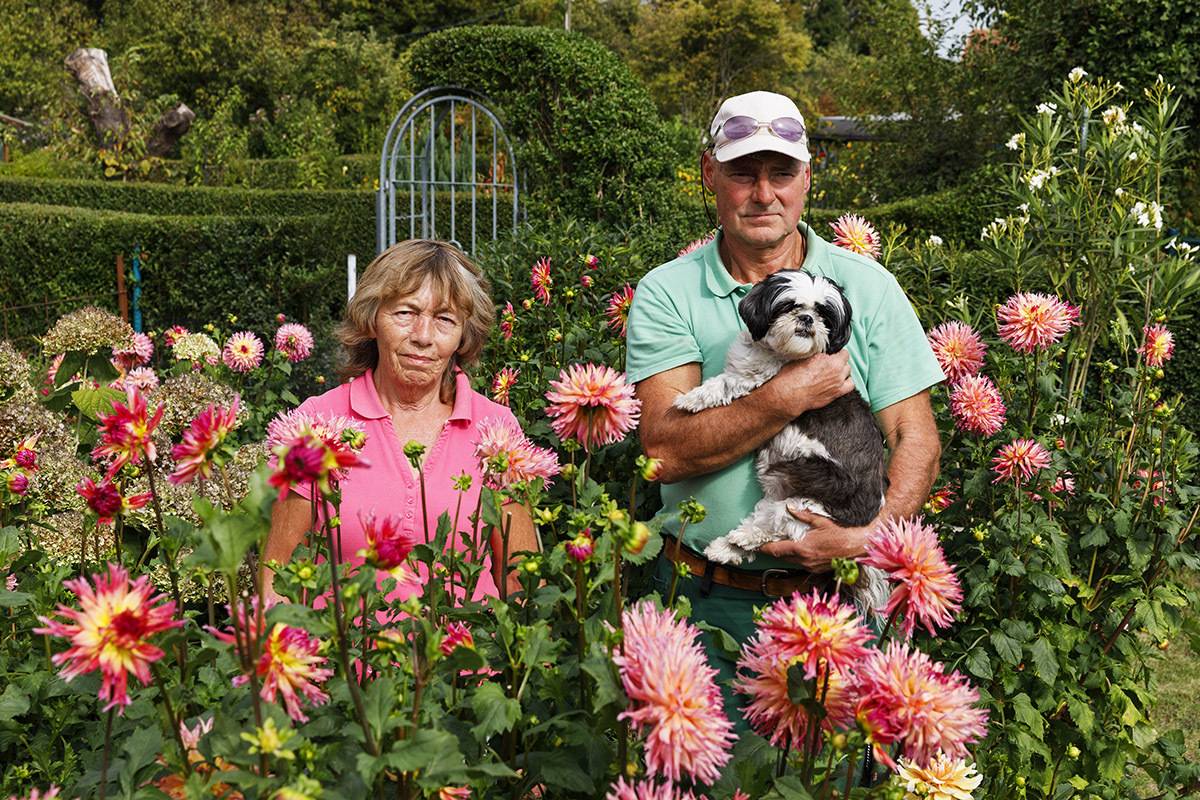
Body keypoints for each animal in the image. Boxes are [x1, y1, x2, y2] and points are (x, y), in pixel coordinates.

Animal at [676, 268, 892, 606]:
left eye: (824, 314)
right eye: (789, 305)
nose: (807, 318)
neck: (783, 354)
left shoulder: (755, 379)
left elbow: (724, 384)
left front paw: (693, 398)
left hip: (807, 498)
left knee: (775, 526)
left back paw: (740, 539)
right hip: (781, 497)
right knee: (762, 524)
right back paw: (725, 548)